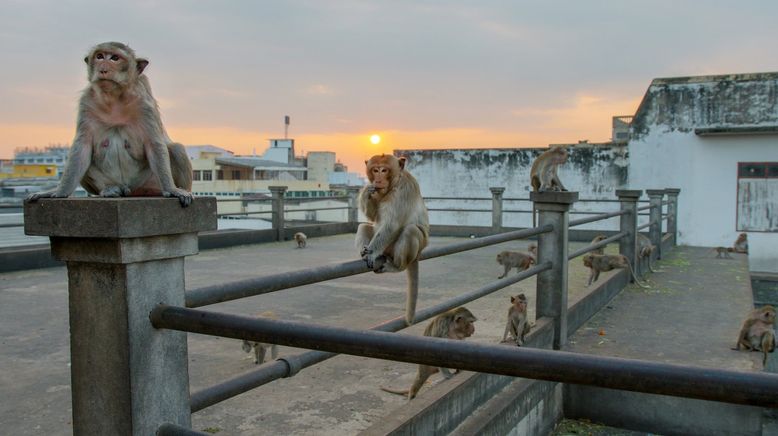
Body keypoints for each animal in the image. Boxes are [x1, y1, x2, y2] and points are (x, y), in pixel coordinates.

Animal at [27, 42, 192, 206]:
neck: (113, 98)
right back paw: (110, 189)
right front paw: (59, 191)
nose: (103, 69)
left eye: (114, 58)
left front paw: (171, 189)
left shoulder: (145, 104)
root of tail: (130, 190)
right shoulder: (86, 102)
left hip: (146, 181)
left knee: (176, 149)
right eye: (99, 56)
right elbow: (82, 147)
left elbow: (154, 144)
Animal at [354, 153, 428, 324]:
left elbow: (392, 224)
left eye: (384, 170)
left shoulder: (404, 189)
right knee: (364, 227)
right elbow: (372, 216)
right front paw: (366, 191)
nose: (378, 179)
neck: (393, 184)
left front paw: (371, 254)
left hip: (407, 247)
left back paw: (396, 266)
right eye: (375, 170)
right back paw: (364, 254)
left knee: (410, 230)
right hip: (386, 247)